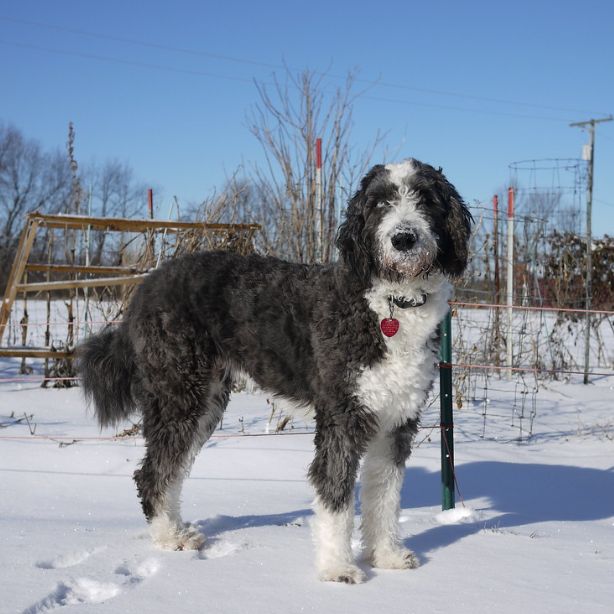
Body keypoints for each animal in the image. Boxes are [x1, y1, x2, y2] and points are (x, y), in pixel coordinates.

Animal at [77, 158, 472, 584]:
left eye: (425, 198)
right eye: (380, 202)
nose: (404, 238)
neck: (390, 306)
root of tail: (147, 285)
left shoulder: (396, 420)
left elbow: (384, 495)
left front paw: (386, 557)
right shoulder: (342, 417)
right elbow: (335, 494)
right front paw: (337, 568)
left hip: (204, 400)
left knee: (171, 469)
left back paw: (176, 529)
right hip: (180, 393)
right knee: (153, 473)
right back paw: (169, 538)